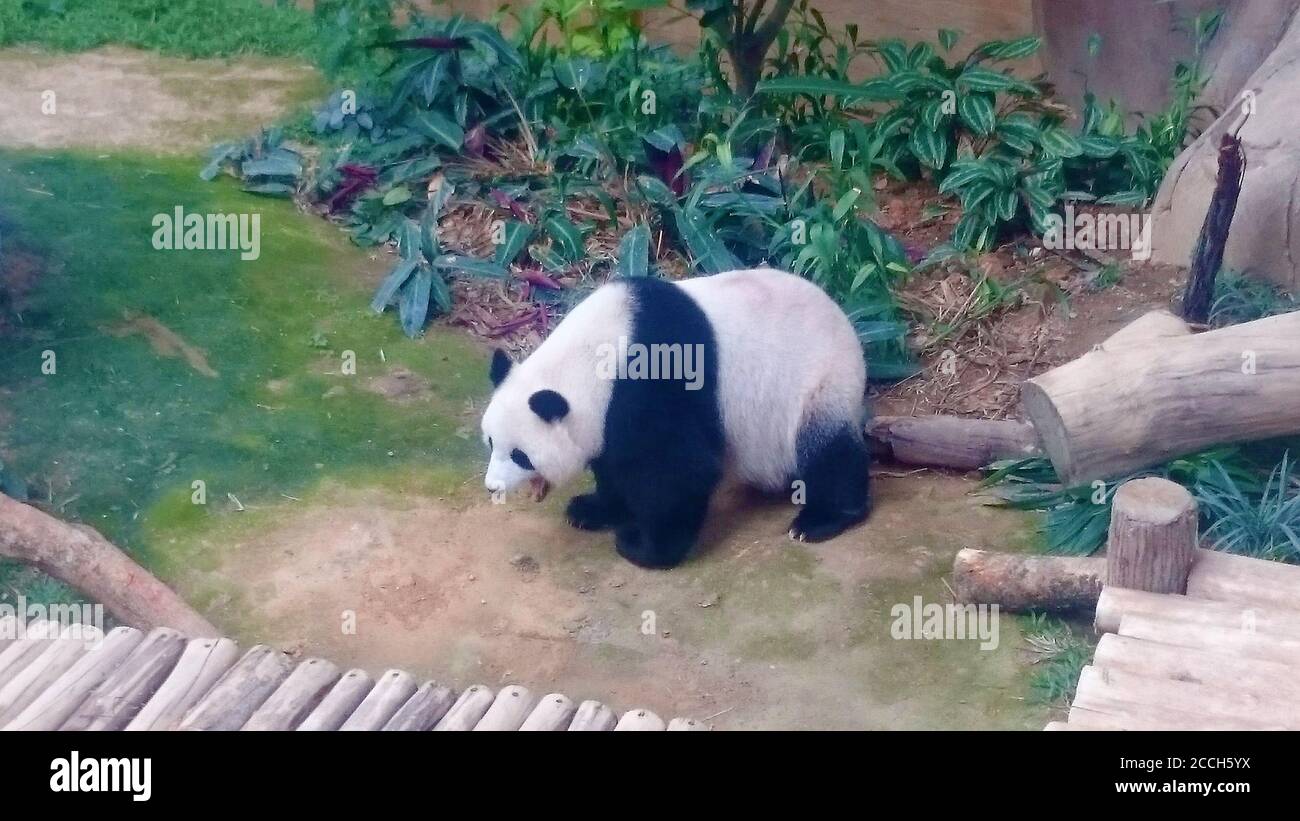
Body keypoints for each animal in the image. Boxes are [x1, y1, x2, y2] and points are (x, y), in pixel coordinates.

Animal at [480, 266, 873, 566]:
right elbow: (613, 461)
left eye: (520, 455)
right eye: (490, 442)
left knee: (828, 451)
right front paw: (593, 509)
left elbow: (678, 469)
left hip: (818, 383)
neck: (591, 356)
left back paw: (819, 520)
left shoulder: (652, 380)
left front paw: (644, 546)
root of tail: (847, 325)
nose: (492, 487)